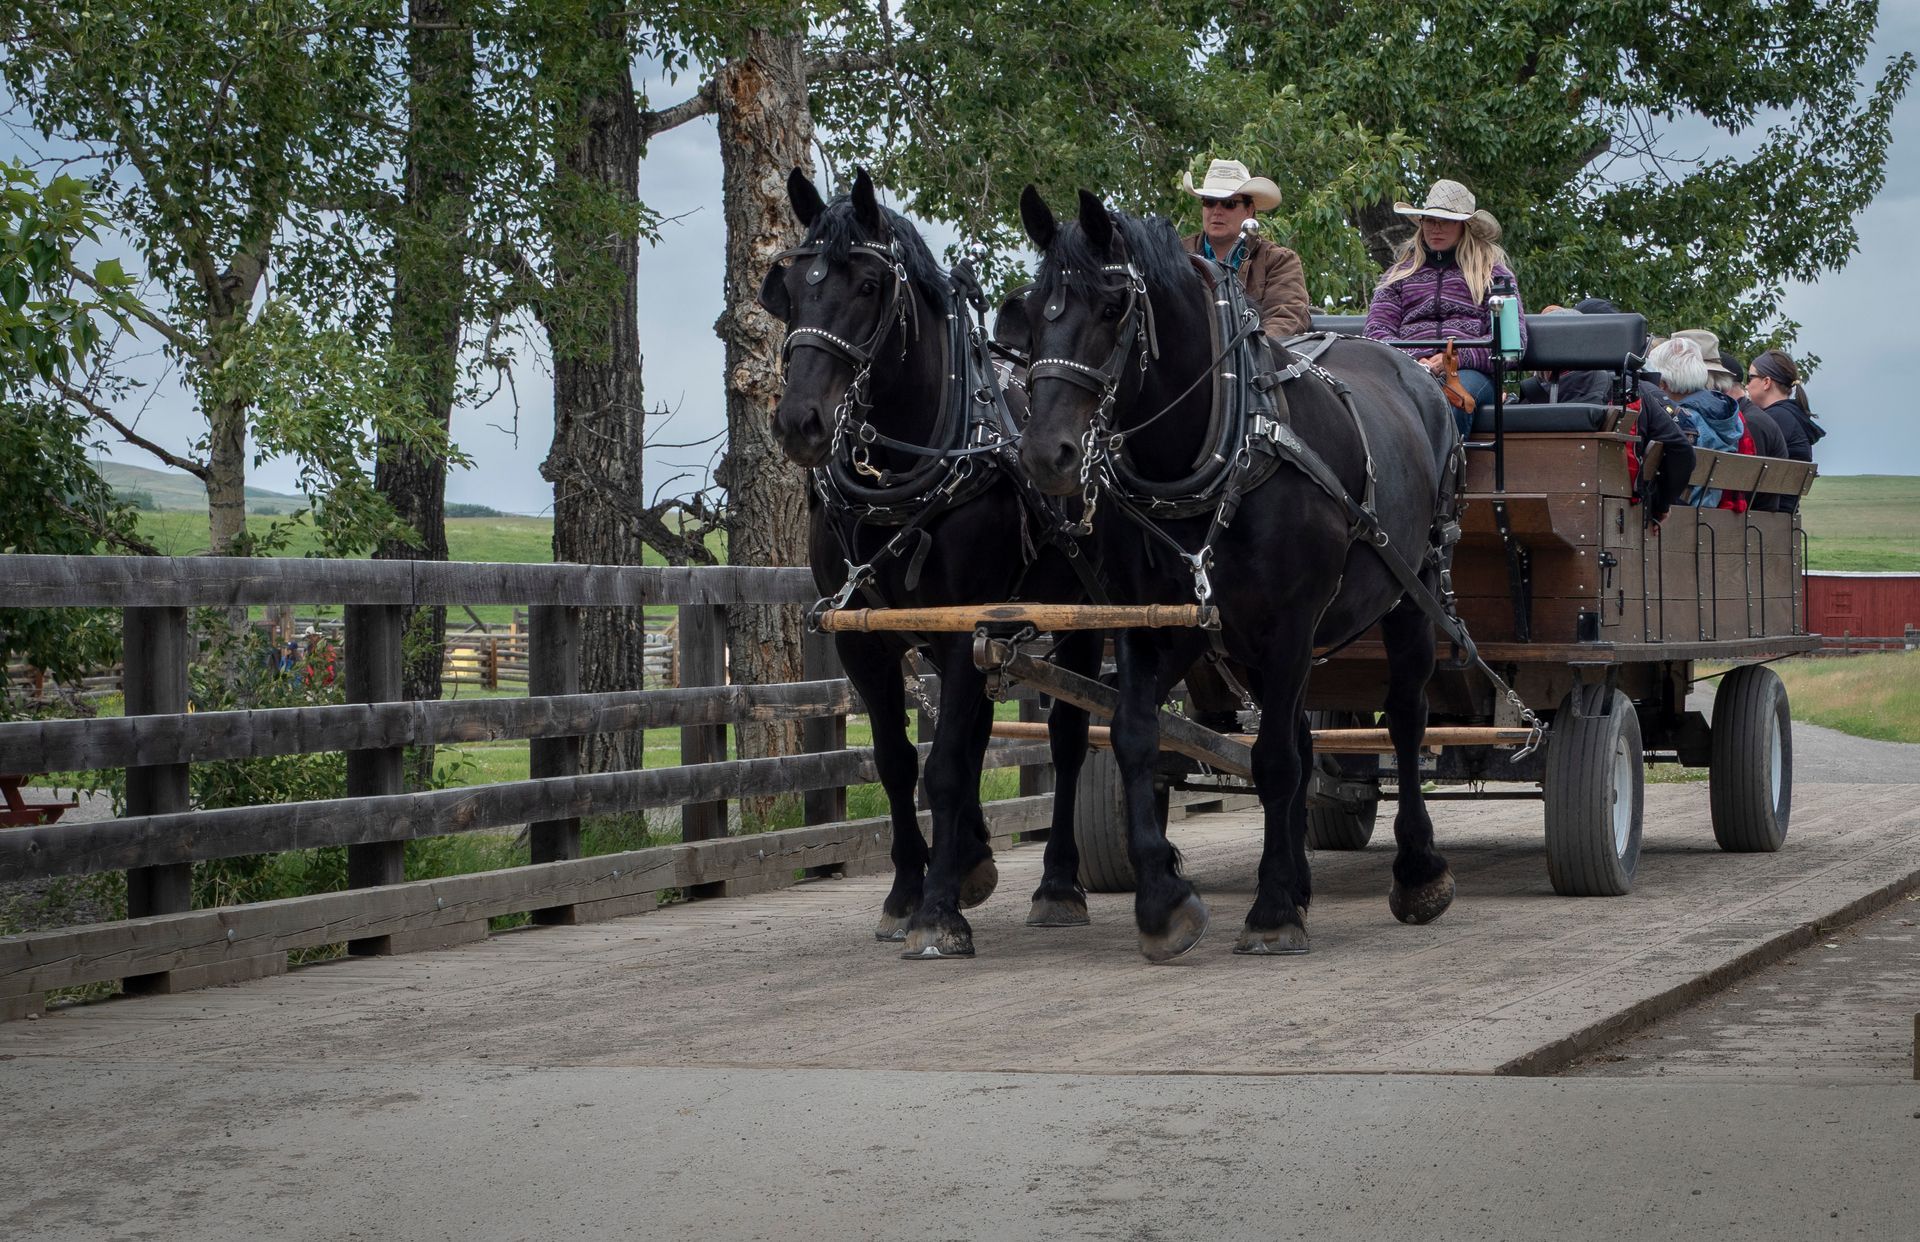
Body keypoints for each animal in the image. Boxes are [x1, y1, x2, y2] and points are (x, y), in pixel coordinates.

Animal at [760, 169, 1102, 958]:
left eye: (866, 286)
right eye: (787, 285)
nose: (800, 422)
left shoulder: (959, 627)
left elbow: (945, 767)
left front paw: (940, 912)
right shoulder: (867, 643)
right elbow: (898, 763)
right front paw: (908, 893)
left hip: (1086, 619)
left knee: (1069, 741)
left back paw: (1058, 885)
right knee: (976, 735)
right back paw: (972, 857)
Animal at [1009, 186, 1462, 961]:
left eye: (1112, 306)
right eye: (1037, 307)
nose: (1048, 454)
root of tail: (1420, 378)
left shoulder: (1290, 621)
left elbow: (1274, 757)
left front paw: (1273, 910)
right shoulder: (1157, 624)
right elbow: (1135, 736)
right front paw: (1164, 901)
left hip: (1412, 593)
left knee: (1405, 718)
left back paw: (1416, 872)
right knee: (1307, 741)